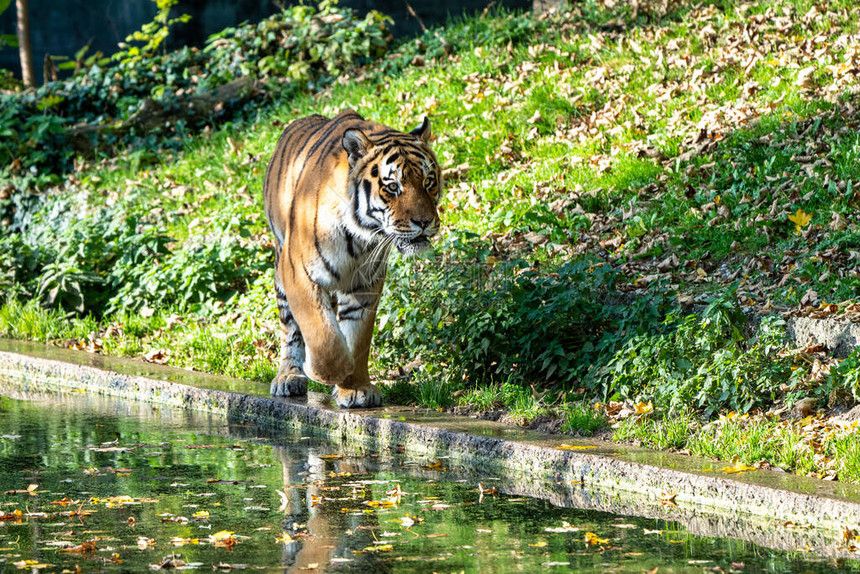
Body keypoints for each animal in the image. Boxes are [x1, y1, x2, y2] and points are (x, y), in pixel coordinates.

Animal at [264, 110, 444, 410]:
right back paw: (289, 376)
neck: (361, 238)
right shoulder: (299, 274)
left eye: (428, 181)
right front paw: (326, 372)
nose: (424, 222)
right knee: (290, 329)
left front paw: (356, 388)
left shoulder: (365, 286)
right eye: (392, 187)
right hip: (280, 267)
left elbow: (358, 339)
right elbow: (321, 335)